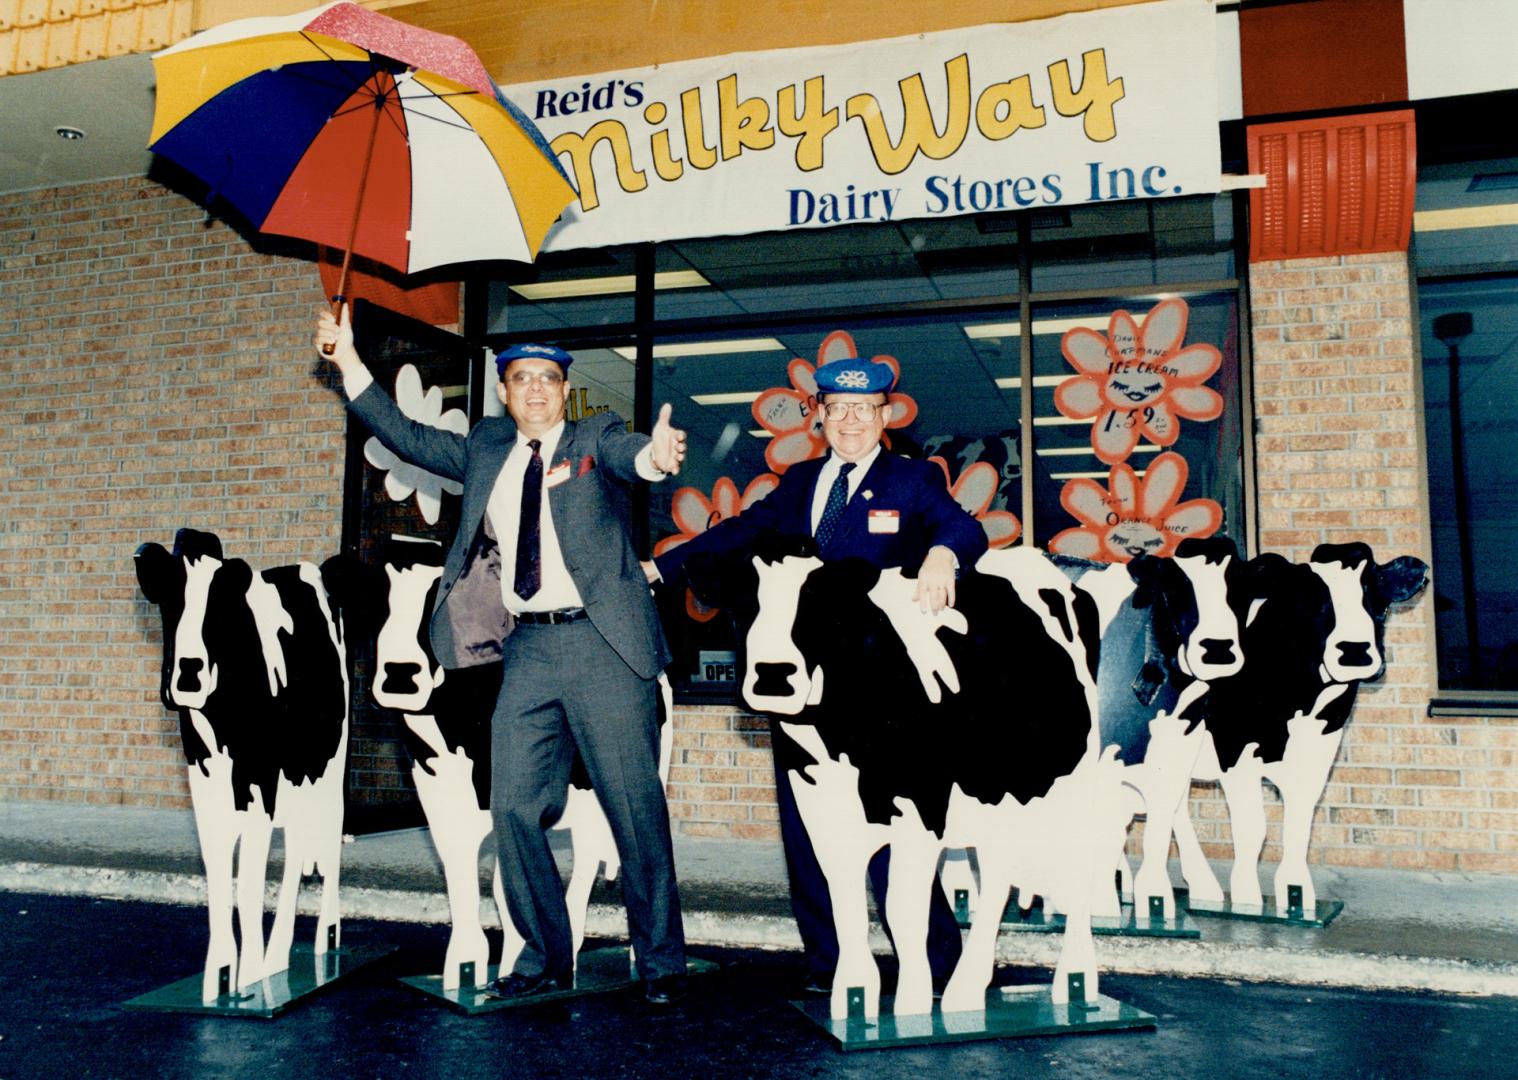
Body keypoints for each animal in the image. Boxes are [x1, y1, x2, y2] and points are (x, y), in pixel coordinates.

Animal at [133, 531, 352, 1002]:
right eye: (171, 598)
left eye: (217, 606)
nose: (189, 671)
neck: (216, 726)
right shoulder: (204, 789)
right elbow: (218, 878)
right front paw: (219, 977)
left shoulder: (259, 786)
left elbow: (249, 881)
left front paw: (249, 976)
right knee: (296, 853)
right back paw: (278, 955)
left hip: (325, 772)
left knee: (318, 852)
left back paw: (313, 945)